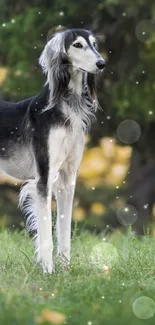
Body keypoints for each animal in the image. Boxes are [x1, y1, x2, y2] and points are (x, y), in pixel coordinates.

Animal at [0, 27, 105, 272]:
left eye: (94, 44)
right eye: (77, 45)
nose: (101, 63)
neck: (65, 106)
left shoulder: (67, 178)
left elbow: (64, 231)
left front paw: (64, 269)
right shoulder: (43, 179)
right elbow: (46, 232)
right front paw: (48, 270)